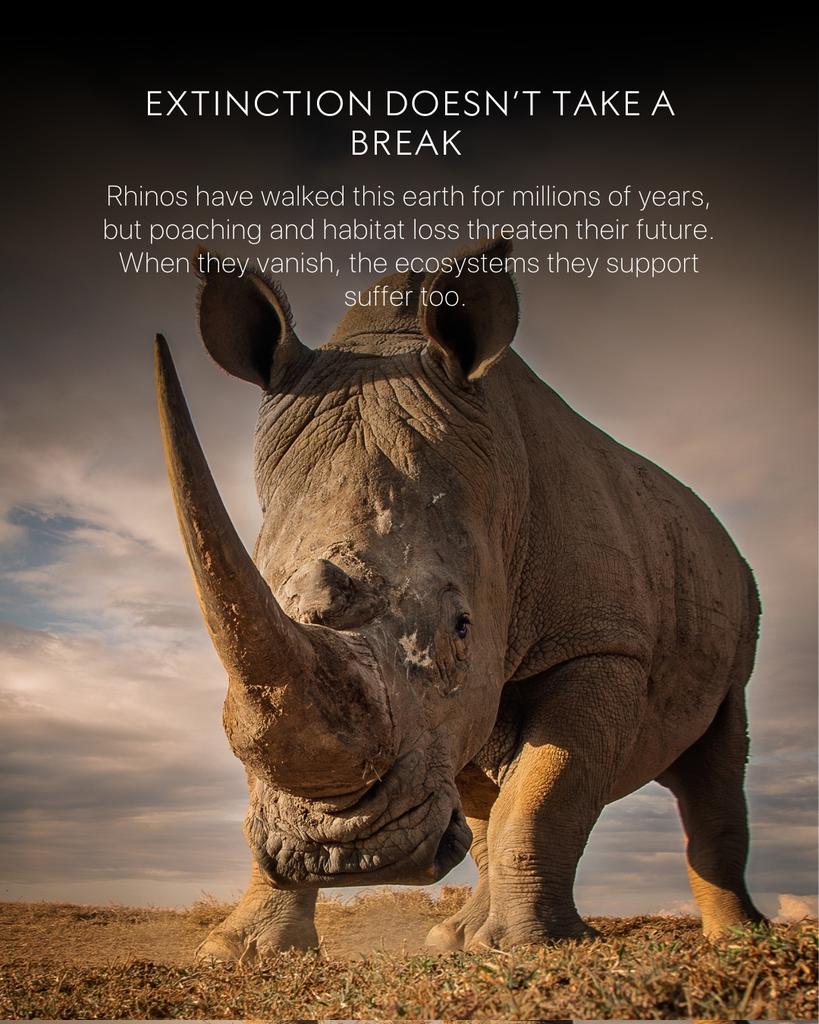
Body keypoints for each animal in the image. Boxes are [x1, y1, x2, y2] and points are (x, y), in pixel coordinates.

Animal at [154, 238, 765, 958]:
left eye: (461, 627)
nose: (345, 854)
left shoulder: (602, 643)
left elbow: (547, 794)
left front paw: (531, 948)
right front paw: (238, 952)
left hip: (730, 598)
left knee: (716, 762)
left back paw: (738, 940)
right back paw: (453, 938)